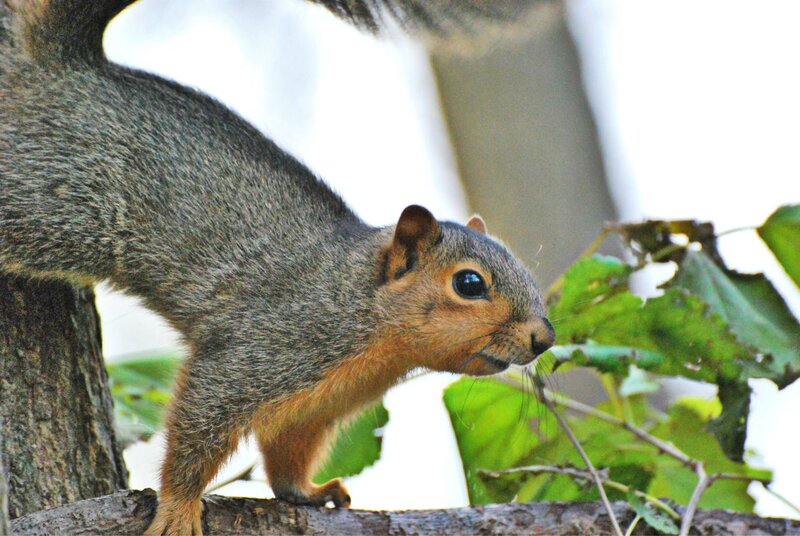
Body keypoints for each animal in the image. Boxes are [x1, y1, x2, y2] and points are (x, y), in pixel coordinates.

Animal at [0, 0, 554, 534]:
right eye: (469, 283)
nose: (544, 338)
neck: (370, 319)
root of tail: (66, 67)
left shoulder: (313, 408)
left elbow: (287, 453)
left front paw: (306, 492)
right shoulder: (267, 347)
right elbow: (200, 423)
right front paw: (178, 507)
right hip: (60, 203)